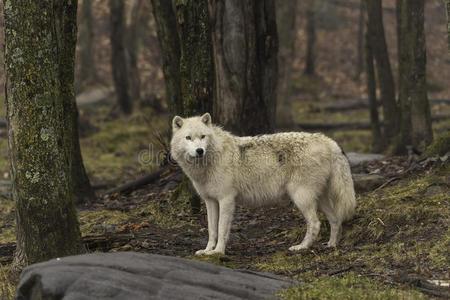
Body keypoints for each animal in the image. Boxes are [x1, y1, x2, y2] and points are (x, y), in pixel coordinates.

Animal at [170, 112, 356, 255]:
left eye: (203, 136)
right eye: (188, 138)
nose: (199, 151)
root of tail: (328, 141)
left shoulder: (226, 199)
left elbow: (222, 229)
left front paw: (218, 252)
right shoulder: (210, 201)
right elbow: (212, 230)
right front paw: (207, 251)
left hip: (301, 198)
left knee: (315, 224)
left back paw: (301, 247)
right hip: (319, 199)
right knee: (335, 220)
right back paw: (331, 245)